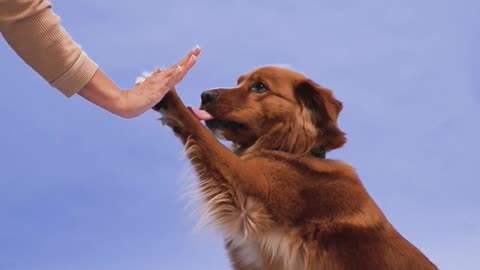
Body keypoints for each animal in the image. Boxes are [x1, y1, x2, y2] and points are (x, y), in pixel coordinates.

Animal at [144, 66, 436, 270]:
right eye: (239, 82)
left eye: (259, 87)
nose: (205, 95)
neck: (294, 153)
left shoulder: (251, 190)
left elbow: (203, 138)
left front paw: (168, 95)